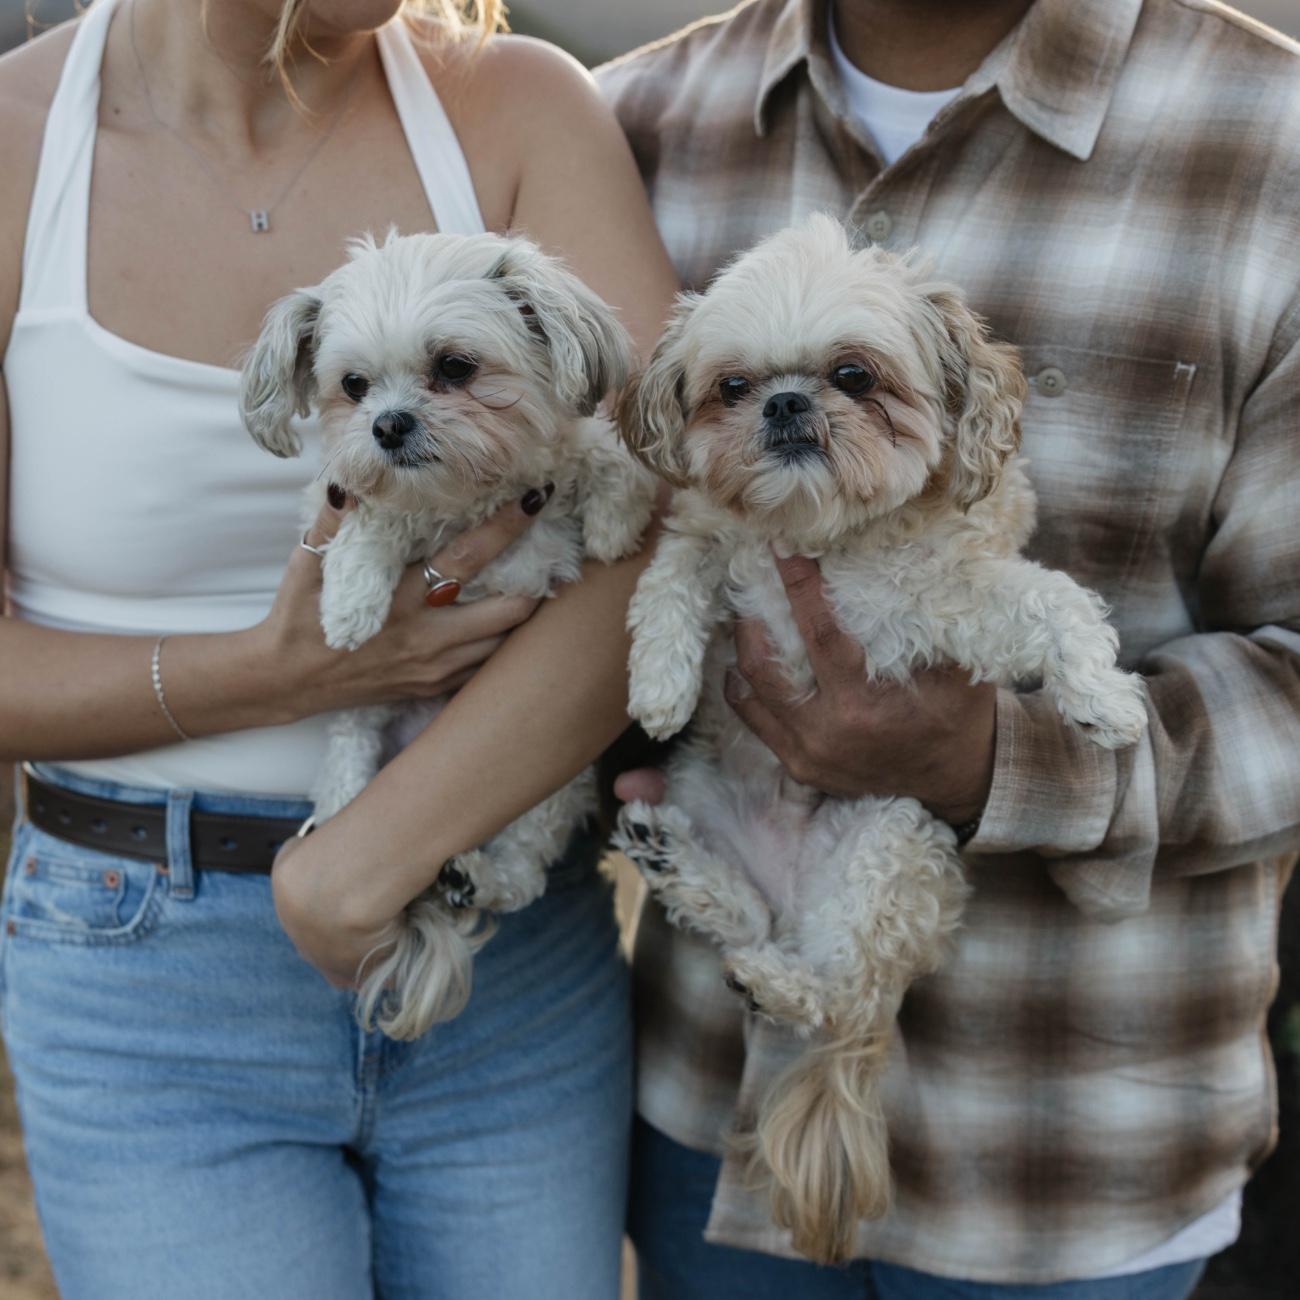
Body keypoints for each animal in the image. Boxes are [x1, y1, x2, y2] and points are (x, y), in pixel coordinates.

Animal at [240, 230, 655, 1041]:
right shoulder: (351, 499)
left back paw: (475, 877)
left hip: (546, 796)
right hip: (357, 746)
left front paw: (614, 523)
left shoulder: (560, 462)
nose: (388, 426)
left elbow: (602, 457)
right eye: (354, 385)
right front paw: (353, 599)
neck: (463, 501)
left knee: (521, 874)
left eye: (455, 367)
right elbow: (372, 510)